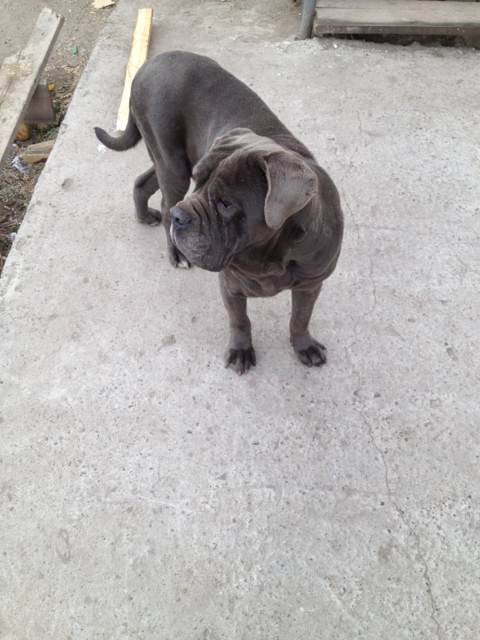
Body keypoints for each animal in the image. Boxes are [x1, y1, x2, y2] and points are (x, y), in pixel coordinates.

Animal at [95, 50, 343, 374]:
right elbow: (240, 321)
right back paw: (174, 249)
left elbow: (300, 318)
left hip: (170, 161)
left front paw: (304, 346)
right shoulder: (231, 286)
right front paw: (241, 351)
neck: (268, 253)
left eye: (226, 204)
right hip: (172, 162)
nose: (181, 217)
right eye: (199, 182)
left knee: (143, 182)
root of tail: (147, 66)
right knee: (164, 200)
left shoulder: (311, 284)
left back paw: (145, 215)